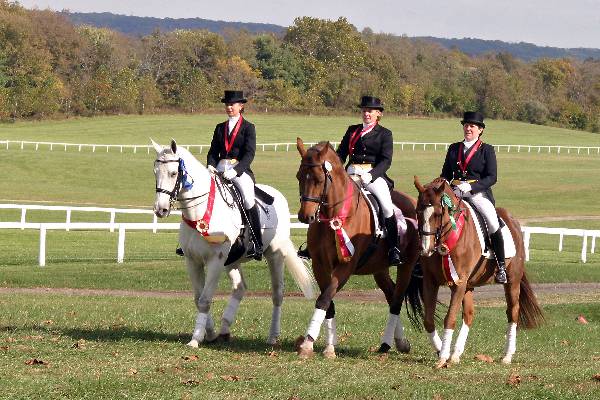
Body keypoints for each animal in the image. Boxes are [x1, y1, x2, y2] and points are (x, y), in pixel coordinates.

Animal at [152, 139, 316, 347]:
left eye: (173, 173)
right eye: (155, 172)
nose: (160, 209)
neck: (200, 212)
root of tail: (277, 195)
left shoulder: (216, 260)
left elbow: (205, 299)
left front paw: (196, 339)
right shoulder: (192, 260)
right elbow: (198, 298)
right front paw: (210, 333)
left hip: (274, 255)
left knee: (277, 293)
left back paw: (272, 336)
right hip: (233, 260)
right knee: (240, 288)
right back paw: (224, 328)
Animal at [294, 138, 422, 359]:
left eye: (319, 179)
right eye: (299, 176)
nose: (305, 216)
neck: (335, 216)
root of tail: (412, 202)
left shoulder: (346, 265)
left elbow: (324, 298)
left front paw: (308, 343)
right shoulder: (320, 265)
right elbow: (328, 303)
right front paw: (329, 347)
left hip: (406, 266)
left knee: (396, 301)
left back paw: (387, 344)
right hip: (380, 268)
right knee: (390, 296)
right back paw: (399, 341)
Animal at [413, 176, 544, 368]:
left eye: (437, 213)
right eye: (417, 211)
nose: (425, 249)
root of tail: (513, 221)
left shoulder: (458, 283)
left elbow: (449, 318)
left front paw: (442, 357)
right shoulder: (431, 282)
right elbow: (428, 320)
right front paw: (441, 351)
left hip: (512, 281)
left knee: (512, 312)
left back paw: (507, 355)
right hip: (469, 286)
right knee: (469, 314)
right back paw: (456, 354)